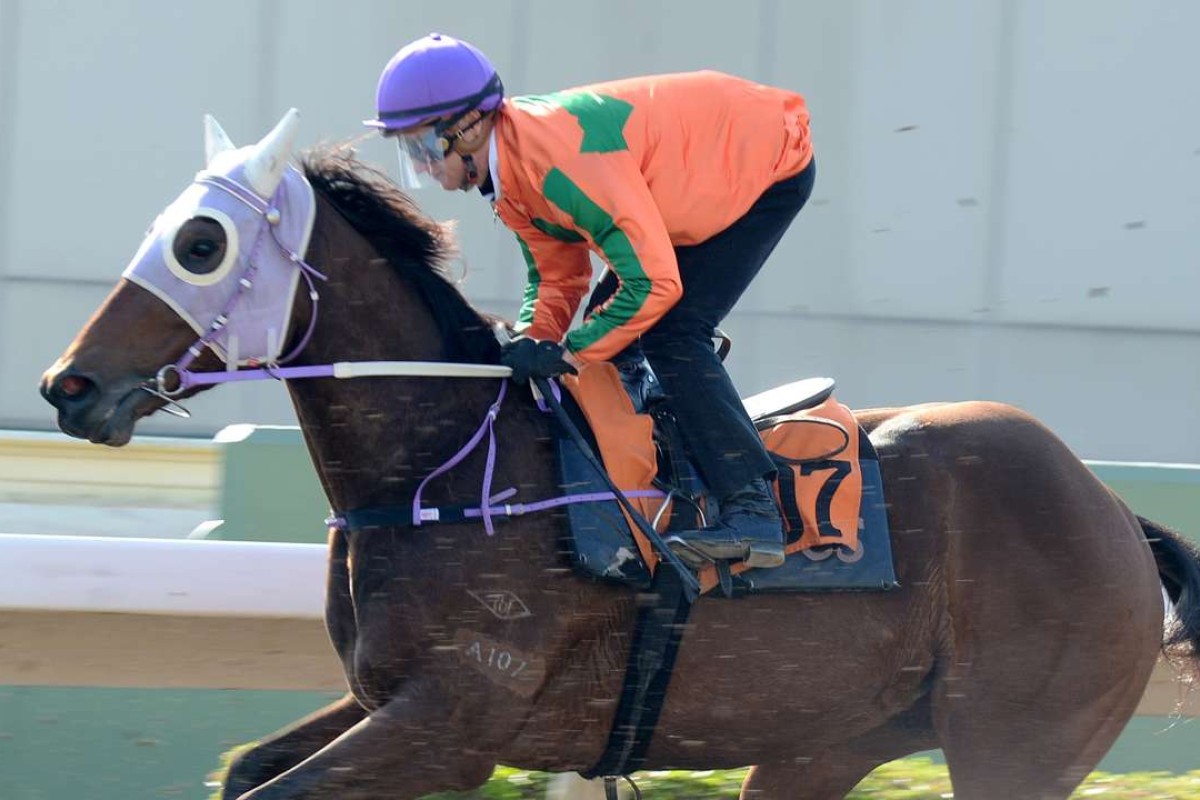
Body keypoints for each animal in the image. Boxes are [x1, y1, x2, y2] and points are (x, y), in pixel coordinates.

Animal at [37, 107, 1200, 800]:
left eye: (200, 245)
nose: (68, 384)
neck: (447, 469)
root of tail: (1111, 512)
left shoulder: (456, 719)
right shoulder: (390, 699)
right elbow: (246, 768)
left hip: (1016, 740)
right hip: (826, 743)